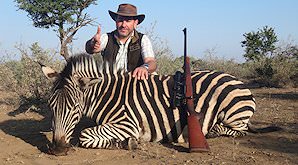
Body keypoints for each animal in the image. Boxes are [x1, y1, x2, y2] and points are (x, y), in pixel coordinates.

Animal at [41, 54, 256, 156]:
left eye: (74, 108)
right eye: (51, 106)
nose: (57, 149)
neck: (109, 95)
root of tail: (236, 79)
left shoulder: (127, 124)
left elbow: (85, 135)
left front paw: (127, 143)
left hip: (232, 114)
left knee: (239, 130)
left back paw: (208, 132)